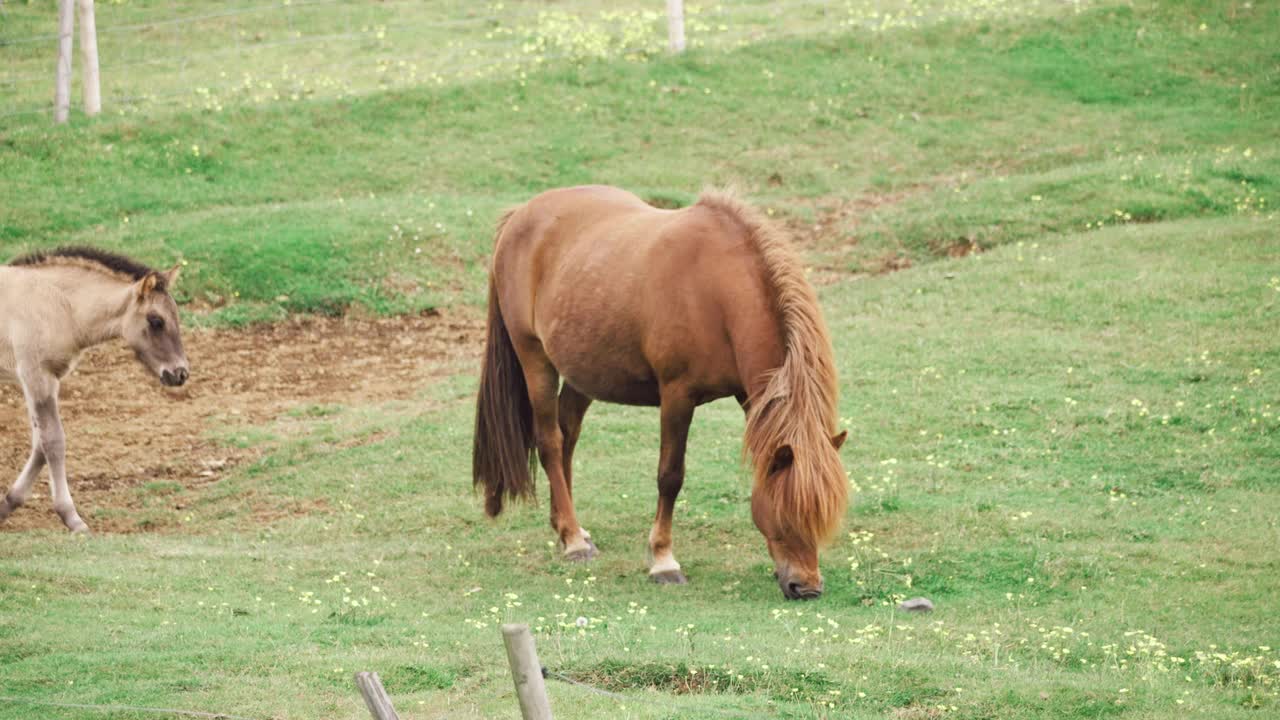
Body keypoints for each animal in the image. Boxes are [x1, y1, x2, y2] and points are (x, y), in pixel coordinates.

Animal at [476, 185, 844, 599]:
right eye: (786, 514)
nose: (807, 587)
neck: (717, 290)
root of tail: (519, 216)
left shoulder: (749, 396)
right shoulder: (676, 396)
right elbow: (670, 476)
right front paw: (663, 560)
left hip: (581, 371)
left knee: (567, 436)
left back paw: (569, 528)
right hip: (535, 359)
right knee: (550, 443)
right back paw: (572, 541)